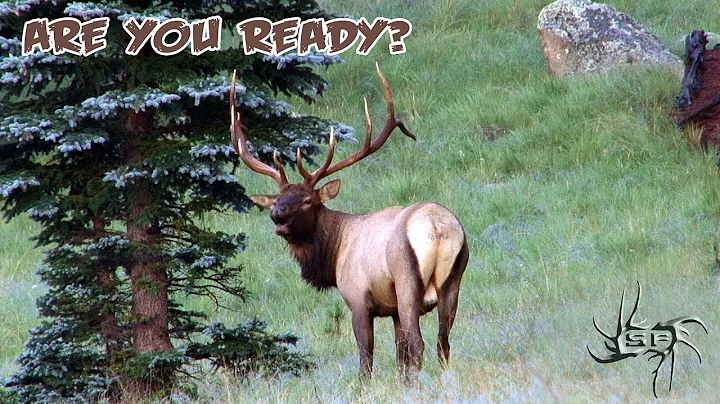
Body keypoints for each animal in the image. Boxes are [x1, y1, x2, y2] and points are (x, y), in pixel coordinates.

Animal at [229, 64, 469, 378]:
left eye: (308, 200)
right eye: (278, 198)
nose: (277, 215)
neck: (333, 253)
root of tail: (438, 227)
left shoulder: (358, 299)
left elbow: (366, 359)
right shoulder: (392, 308)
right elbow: (399, 355)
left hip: (407, 281)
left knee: (419, 344)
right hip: (454, 279)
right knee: (443, 342)